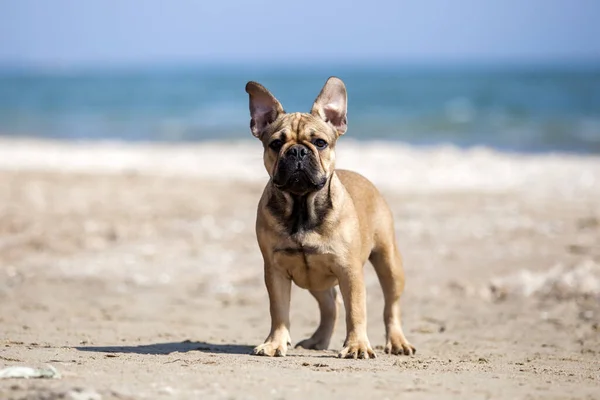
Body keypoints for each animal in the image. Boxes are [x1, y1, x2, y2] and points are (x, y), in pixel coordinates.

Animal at [244, 76, 412, 360]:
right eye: (276, 144)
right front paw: (275, 343)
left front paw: (356, 346)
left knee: (392, 305)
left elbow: (356, 310)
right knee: (330, 305)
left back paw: (397, 341)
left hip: (388, 262)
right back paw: (318, 340)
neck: (302, 206)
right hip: (316, 280)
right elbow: (279, 311)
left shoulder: (350, 271)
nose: (297, 151)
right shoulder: (275, 271)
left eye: (320, 143)